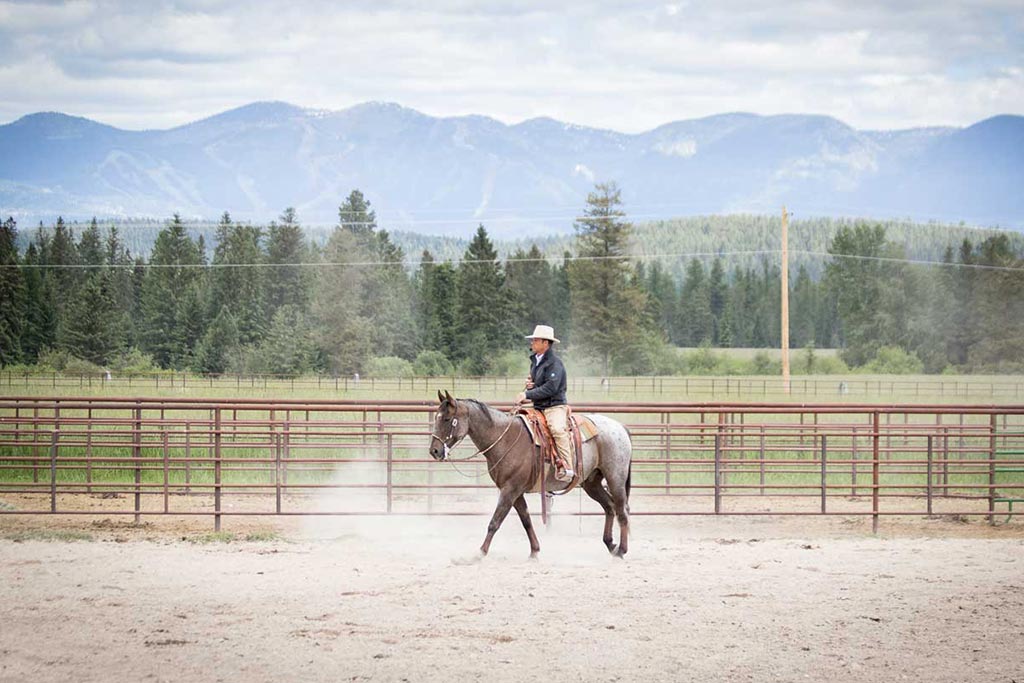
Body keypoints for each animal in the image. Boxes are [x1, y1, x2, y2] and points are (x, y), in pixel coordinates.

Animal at [425, 393, 630, 557]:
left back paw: (621, 550)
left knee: (622, 510)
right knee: (609, 506)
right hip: (591, 482)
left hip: (615, 478)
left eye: (446, 419)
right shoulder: (514, 491)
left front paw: (479, 553)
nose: (434, 451)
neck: (504, 439)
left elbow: (495, 521)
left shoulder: (510, 490)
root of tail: (621, 427)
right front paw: (534, 551)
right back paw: (611, 544)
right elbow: (526, 520)